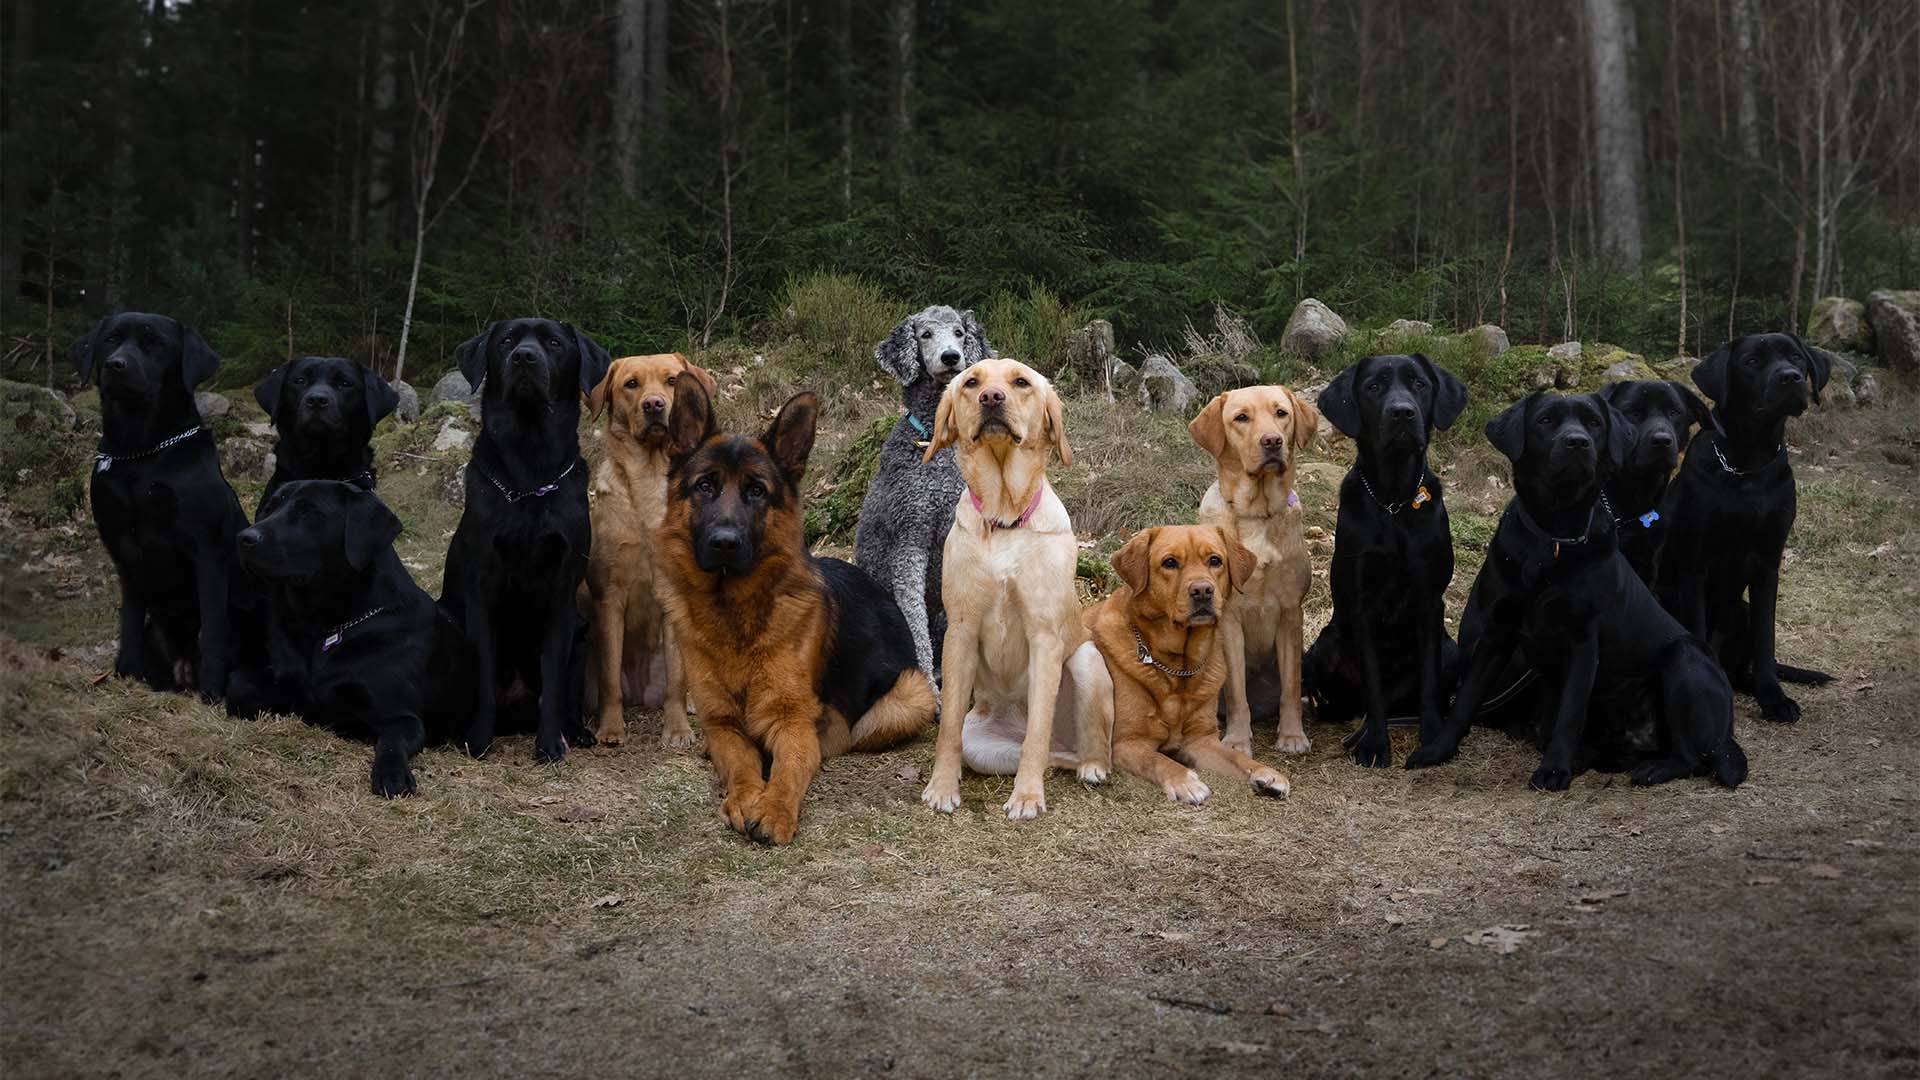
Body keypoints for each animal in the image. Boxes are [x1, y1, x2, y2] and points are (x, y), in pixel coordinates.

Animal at [656, 378, 933, 841]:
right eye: (705, 486)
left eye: (756, 490)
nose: (724, 542)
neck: (734, 615)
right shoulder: (722, 724)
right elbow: (740, 764)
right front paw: (745, 795)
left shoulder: (793, 724)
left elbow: (788, 771)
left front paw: (774, 809)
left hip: (912, 695)